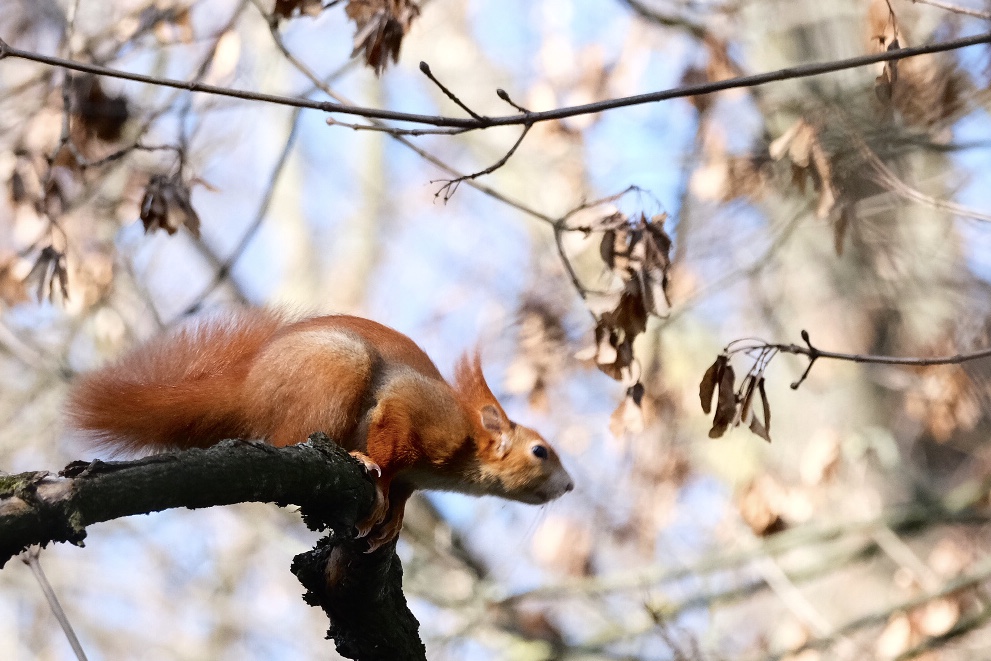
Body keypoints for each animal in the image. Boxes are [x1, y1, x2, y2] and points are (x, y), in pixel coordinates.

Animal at [68, 310, 572, 552]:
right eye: (540, 451)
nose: (570, 487)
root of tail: (251, 388)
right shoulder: (419, 411)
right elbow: (391, 439)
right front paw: (377, 479)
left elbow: (404, 491)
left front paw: (396, 519)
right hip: (336, 373)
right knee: (291, 439)